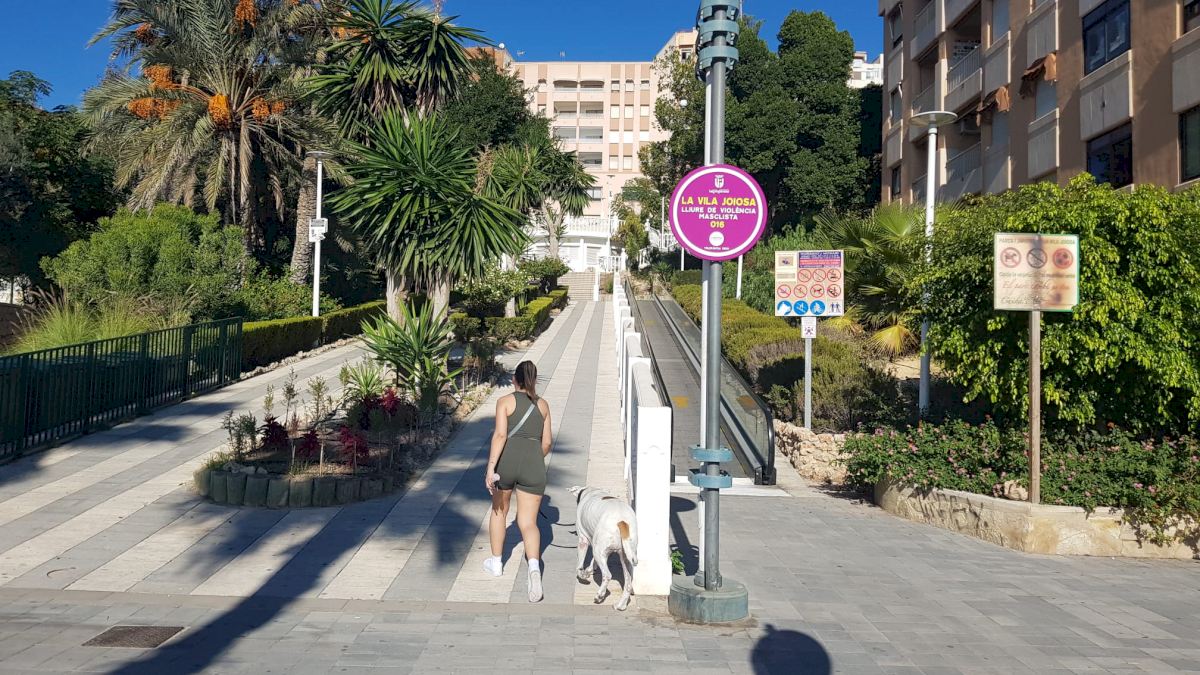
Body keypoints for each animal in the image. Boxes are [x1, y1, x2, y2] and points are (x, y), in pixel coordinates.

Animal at [568, 482, 638, 610]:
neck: (591, 491)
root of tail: (622, 521)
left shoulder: (583, 540)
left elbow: (579, 566)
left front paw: (583, 574)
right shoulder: (597, 545)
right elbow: (593, 560)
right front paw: (590, 569)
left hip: (600, 550)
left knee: (607, 575)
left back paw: (600, 595)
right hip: (626, 556)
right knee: (628, 582)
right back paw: (621, 605)